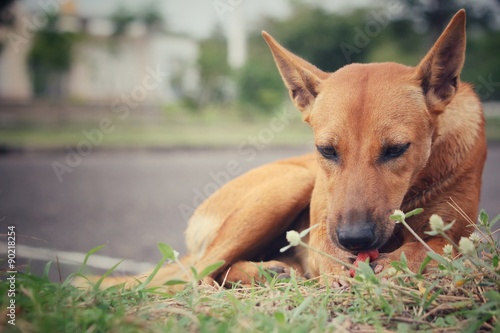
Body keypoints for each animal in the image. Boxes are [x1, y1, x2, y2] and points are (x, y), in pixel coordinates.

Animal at [81, 9, 484, 290]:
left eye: (397, 149)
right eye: (326, 150)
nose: (354, 240)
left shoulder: (460, 229)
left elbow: (435, 244)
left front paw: (400, 259)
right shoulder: (324, 222)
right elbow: (324, 247)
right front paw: (338, 266)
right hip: (289, 184)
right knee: (197, 274)